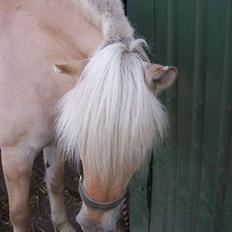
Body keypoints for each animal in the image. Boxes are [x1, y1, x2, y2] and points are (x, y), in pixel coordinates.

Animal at [0, 0, 178, 232]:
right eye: (81, 138)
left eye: (141, 145)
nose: (93, 224)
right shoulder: (15, 154)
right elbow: (19, 213)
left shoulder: (55, 140)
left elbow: (56, 183)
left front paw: (63, 225)